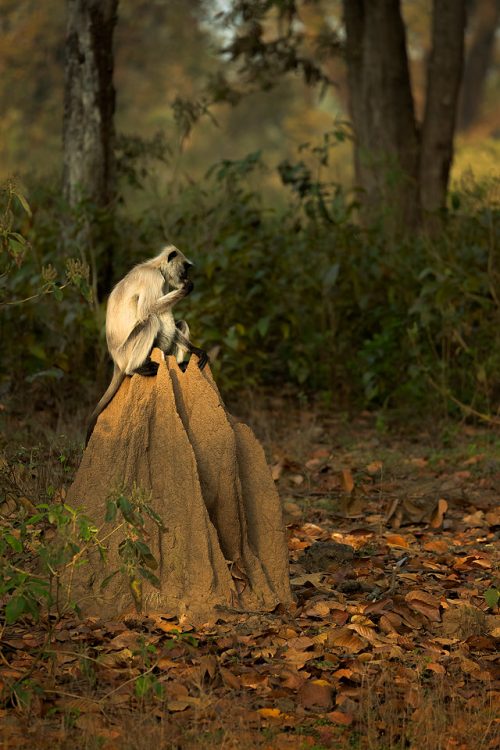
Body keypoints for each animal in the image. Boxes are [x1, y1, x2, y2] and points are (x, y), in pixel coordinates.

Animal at [87, 247, 208, 446]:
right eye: (185, 268)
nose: (186, 276)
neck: (155, 266)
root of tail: (117, 362)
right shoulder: (154, 278)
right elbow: (147, 311)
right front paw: (186, 288)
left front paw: (196, 350)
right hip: (126, 352)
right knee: (151, 320)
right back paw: (135, 369)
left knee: (179, 324)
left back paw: (180, 364)